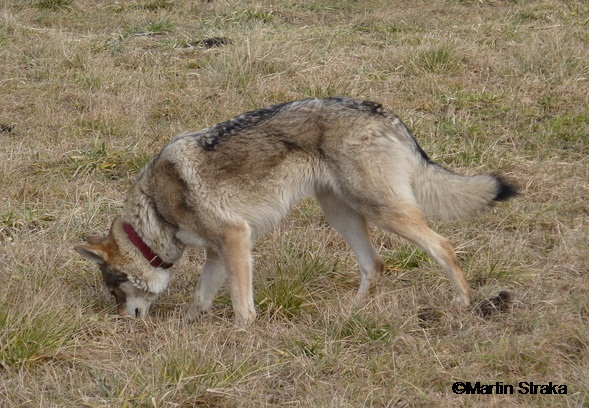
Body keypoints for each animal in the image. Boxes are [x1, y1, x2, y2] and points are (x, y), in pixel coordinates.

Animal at [73, 97, 516, 326]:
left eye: (114, 290)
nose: (125, 320)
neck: (157, 208)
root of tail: (385, 113)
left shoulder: (235, 239)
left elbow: (242, 307)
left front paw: (242, 341)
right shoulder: (218, 252)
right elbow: (200, 299)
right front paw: (186, 331)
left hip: (383, 212)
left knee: (443, 246)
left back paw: (462, 303)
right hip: (341, 214)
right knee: (375, 265)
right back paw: (348, 313)